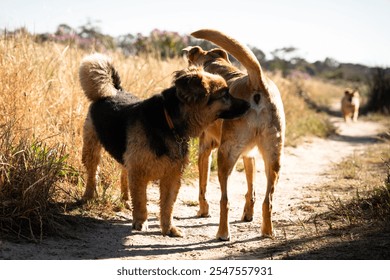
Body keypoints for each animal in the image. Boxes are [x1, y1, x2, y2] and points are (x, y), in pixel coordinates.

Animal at [79, 52, 250, 236]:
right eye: (225, 94)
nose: (249, 104)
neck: (169, 123)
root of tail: (115, 91)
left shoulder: (172, 175)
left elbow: (168, 205)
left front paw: (168, 228)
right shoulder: (139, 172)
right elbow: (141, 201)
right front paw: (141, 221)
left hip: (126, 156)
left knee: (123, 174)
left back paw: (125, 200)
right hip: (91, 148)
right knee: (92, 173)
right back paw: (88, 197)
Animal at [184, 30, 284, 241]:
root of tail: (257, 81)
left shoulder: (205, 148)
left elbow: (203, 186)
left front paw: (203, 211)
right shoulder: (249, 155)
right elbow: (251, 189)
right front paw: (248, 214)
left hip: (224, 155)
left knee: (225, 200)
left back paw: (223, 233)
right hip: (274, 158)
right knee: (268, 200)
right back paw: (267, 231)